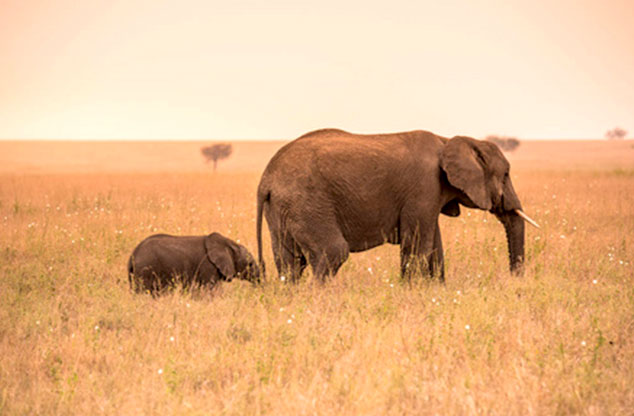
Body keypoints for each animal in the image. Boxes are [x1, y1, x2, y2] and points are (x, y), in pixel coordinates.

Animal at [254, 128, 536, 282]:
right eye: (506, 174)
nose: (514, 281)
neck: (449, 140)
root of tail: (265, 178)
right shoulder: (423, 187)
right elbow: (418, 247)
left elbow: (434, 247)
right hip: (306, 202)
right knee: (333, 252)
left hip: (282, 208)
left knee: (289, 263)